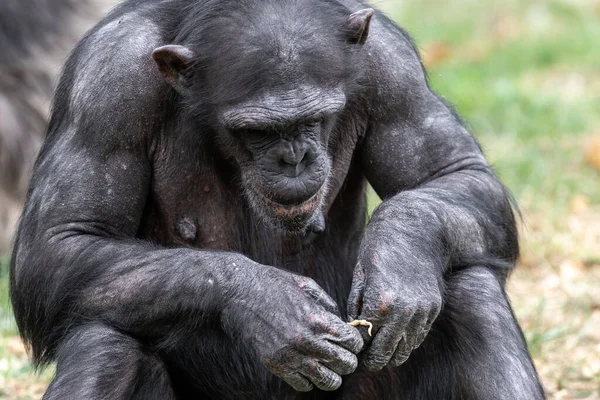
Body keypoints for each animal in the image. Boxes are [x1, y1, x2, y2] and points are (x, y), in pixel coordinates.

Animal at [9, 0, 548, 398]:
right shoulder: (107, 85)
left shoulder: (391, 66)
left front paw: (398, 259)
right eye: (259, 131)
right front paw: (269, 303)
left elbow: (454, 173)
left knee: (469, 288)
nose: (294, 158)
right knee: (107, 335)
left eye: (314, 119)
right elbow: (62, 240)